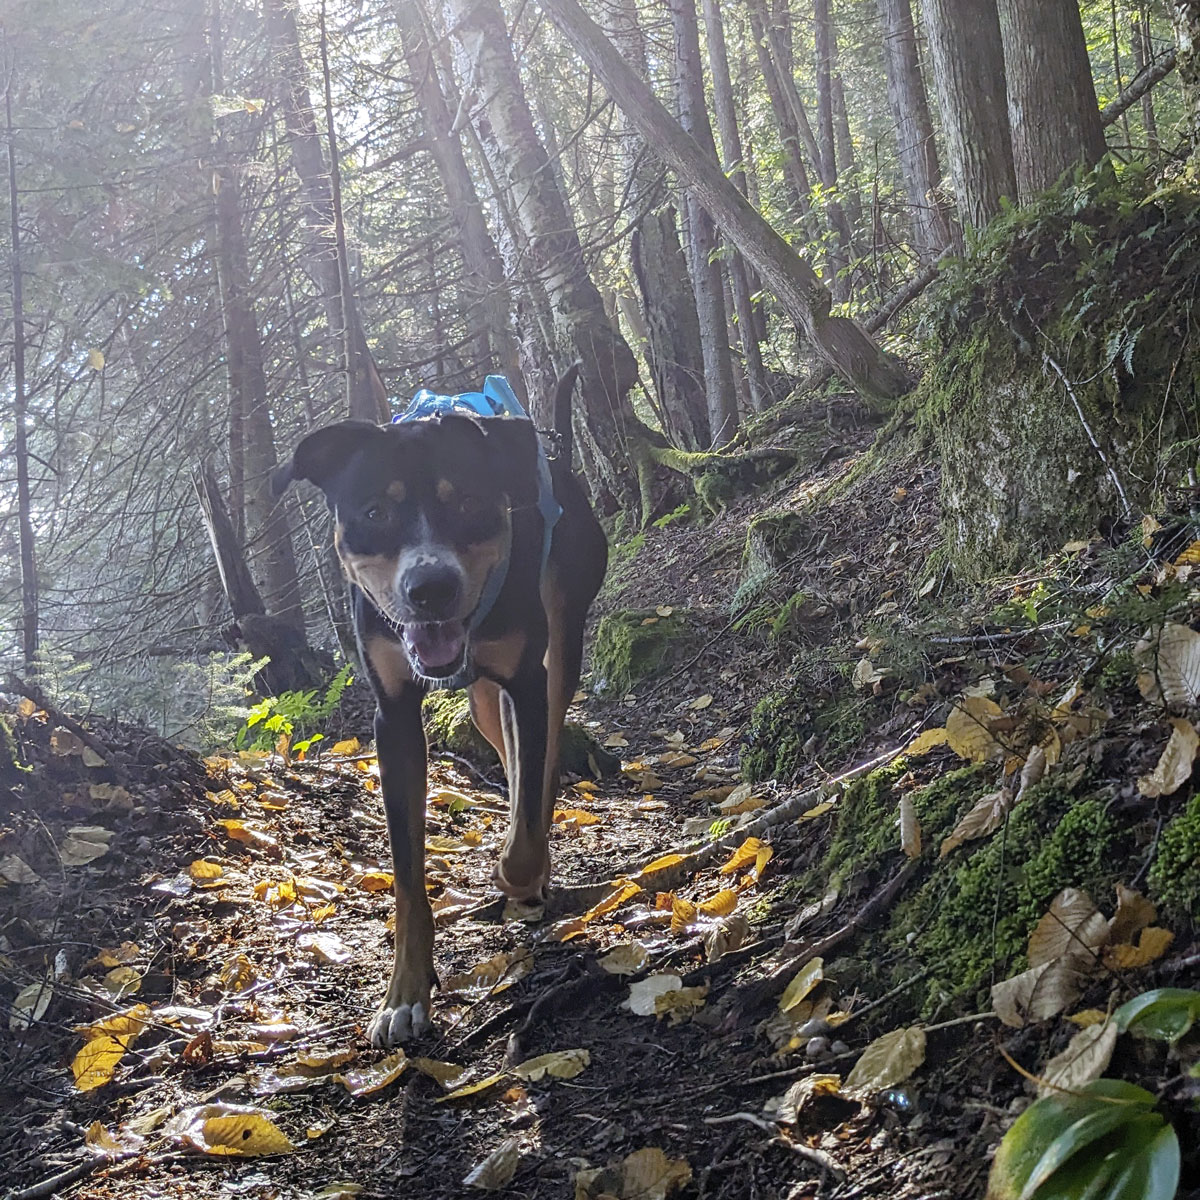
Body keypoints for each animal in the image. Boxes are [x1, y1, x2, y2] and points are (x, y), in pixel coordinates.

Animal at [274, 369, 604, 1046]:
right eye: (375, 512)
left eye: (470, 502)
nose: (431, 589)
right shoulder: (393, 715)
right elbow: (405, 875)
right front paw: (404, 994)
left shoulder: (526, 681)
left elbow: (527, 827)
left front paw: (520, 874)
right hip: (481, 701)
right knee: (507, 748)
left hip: (561, 639)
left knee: (544, 757)